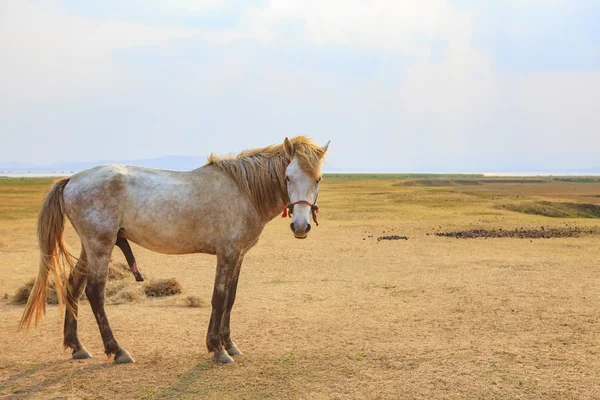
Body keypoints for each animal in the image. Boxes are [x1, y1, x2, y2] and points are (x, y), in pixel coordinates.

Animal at [19, 136, 328, 364]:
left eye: (318, 179)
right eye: (288, 177)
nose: (300, 226)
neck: (244, 190)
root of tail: (71, 180)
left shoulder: (238, 255)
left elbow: (230, 299)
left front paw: (229, 344)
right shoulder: (227, 254)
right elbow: (219, 298)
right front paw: (217, 349)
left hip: (90, 247)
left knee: (72, 287)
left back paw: (77, 347)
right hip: (100, 246)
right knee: (94, 293)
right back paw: (117, 351)